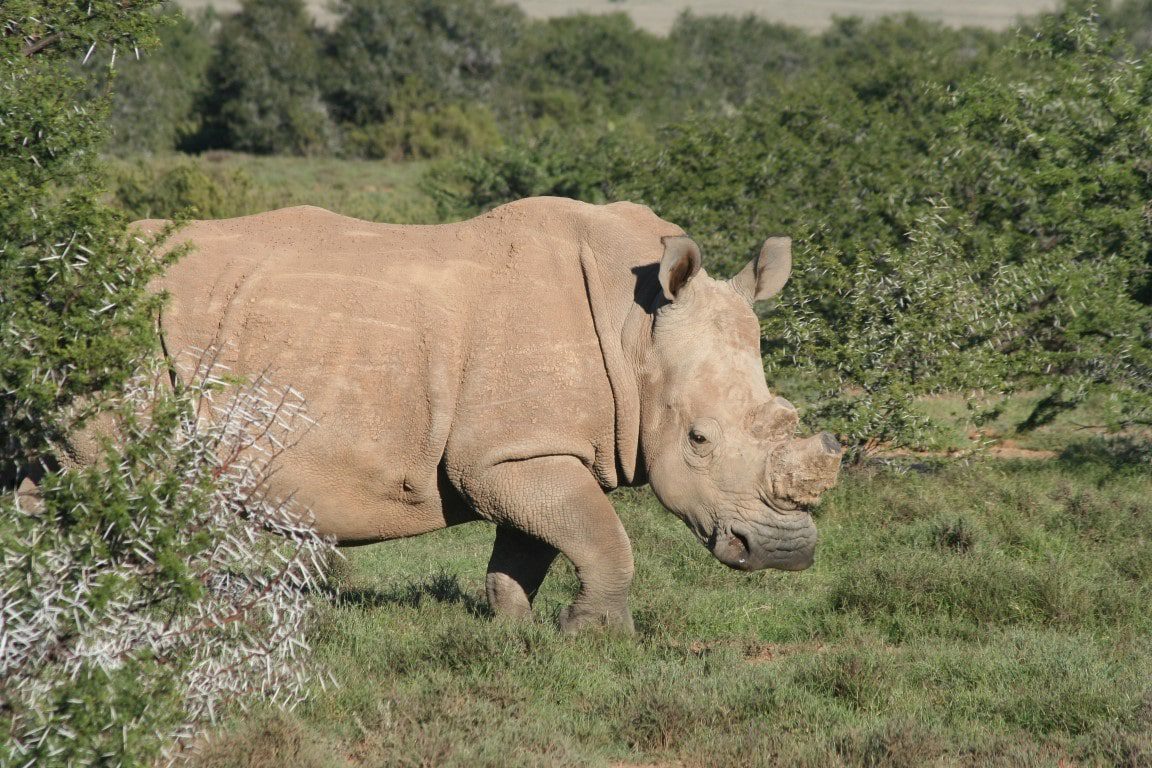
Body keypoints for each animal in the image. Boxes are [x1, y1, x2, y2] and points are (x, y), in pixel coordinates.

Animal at [140, 197, 842, 632]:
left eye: (788, 414)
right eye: (698, 439)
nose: (783, 553)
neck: (636, 328)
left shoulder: (530, 445)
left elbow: (535, 543)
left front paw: (515, 628)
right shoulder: (507, 453)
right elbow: (602, 535)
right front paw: (597, 637)